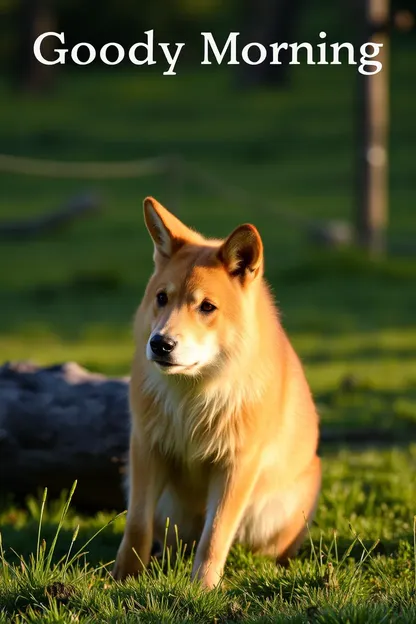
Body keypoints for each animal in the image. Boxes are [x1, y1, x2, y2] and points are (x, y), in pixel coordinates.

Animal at [112, 197, 320, 588]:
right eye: (162, 298)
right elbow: (137, 525)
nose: (160, 344)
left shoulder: (237, 464)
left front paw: (202, 588)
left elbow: (215, 535)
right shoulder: (147, 447)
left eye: (207, 306)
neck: (192, 397)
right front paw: (123, 578)